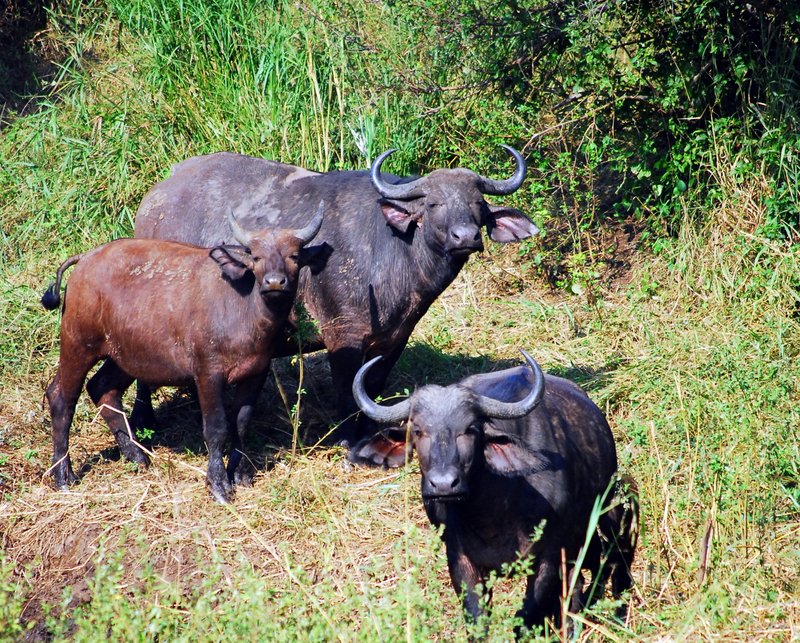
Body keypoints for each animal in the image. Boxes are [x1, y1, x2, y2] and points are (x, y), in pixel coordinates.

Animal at [42, 206, 324, 504]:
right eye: (256, 257)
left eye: (294, 256)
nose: (274, 282)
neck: (244, 309)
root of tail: (85, 259)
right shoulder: (208, 374)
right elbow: (216, 428)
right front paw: (218, 484)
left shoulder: (256, 372)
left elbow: (242, 423)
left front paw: (240, 473)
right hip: (78, 344)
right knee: (61, 397)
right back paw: (63, 474)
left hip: (126, 356)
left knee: (102, 388)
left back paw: (137, 455)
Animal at [134, 146, 540, 448]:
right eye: (434, 203)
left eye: (477, 204)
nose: (465, 237)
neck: (392, 247)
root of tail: (154, 200)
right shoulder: (343, 336)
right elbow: (347, 393)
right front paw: (349, 440)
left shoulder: (394, 339)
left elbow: (371, 389)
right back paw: (142, 423)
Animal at [350, 354, 636, 636]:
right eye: (418, 430)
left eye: (470, 428)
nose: (444, 485)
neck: (492, 514)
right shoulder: (461, 561)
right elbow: (478, 620)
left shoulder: (547, 558)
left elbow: (526, 619)